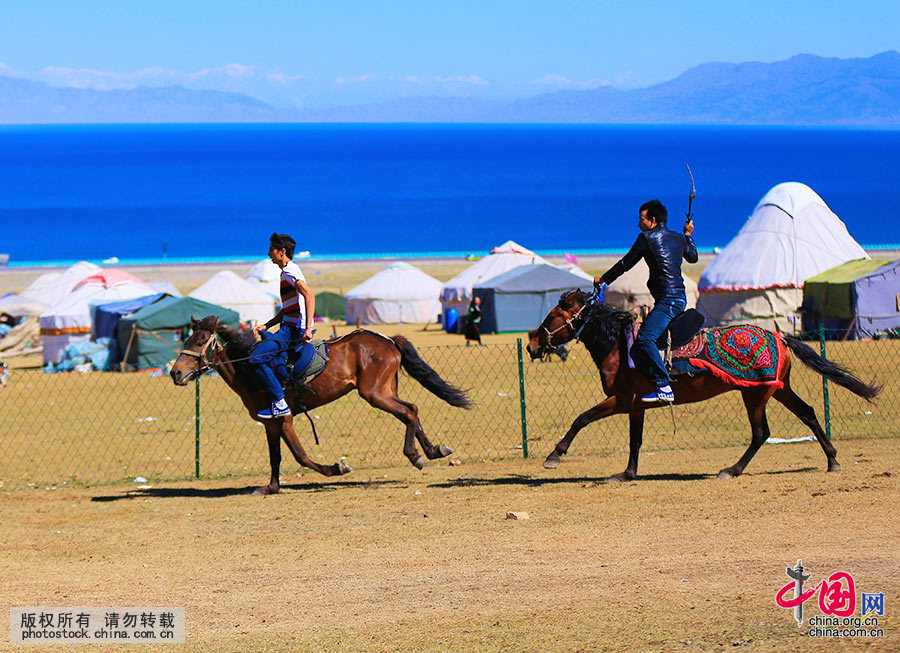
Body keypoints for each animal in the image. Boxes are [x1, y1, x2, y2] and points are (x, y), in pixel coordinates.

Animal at [168, 316, 472, 494]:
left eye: (198, 340)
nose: (175, 373)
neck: (249, 369)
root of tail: (387, 340)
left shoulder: (285, 419)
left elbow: (300, 455)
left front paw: (336, 468)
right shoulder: (270, 424)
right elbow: (275, 456)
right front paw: (271, 487)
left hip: (374, 394)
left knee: (408, 411)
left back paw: (416, 455)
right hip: (384, 391)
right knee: (411, 410)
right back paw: (433, 450)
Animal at [528, 290, 880, 478]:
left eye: (552, 316)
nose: (532, 344)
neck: (618, 345)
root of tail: (780, 337)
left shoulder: (622, 400)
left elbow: (581, 419)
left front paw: (554, 456)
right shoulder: (636, 405)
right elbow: (635, 441)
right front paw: (627, 474)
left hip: (755, 395)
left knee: (761, 432)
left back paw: (732, 470)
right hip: (777, 389)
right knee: (807, 412)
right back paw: (832, 460)